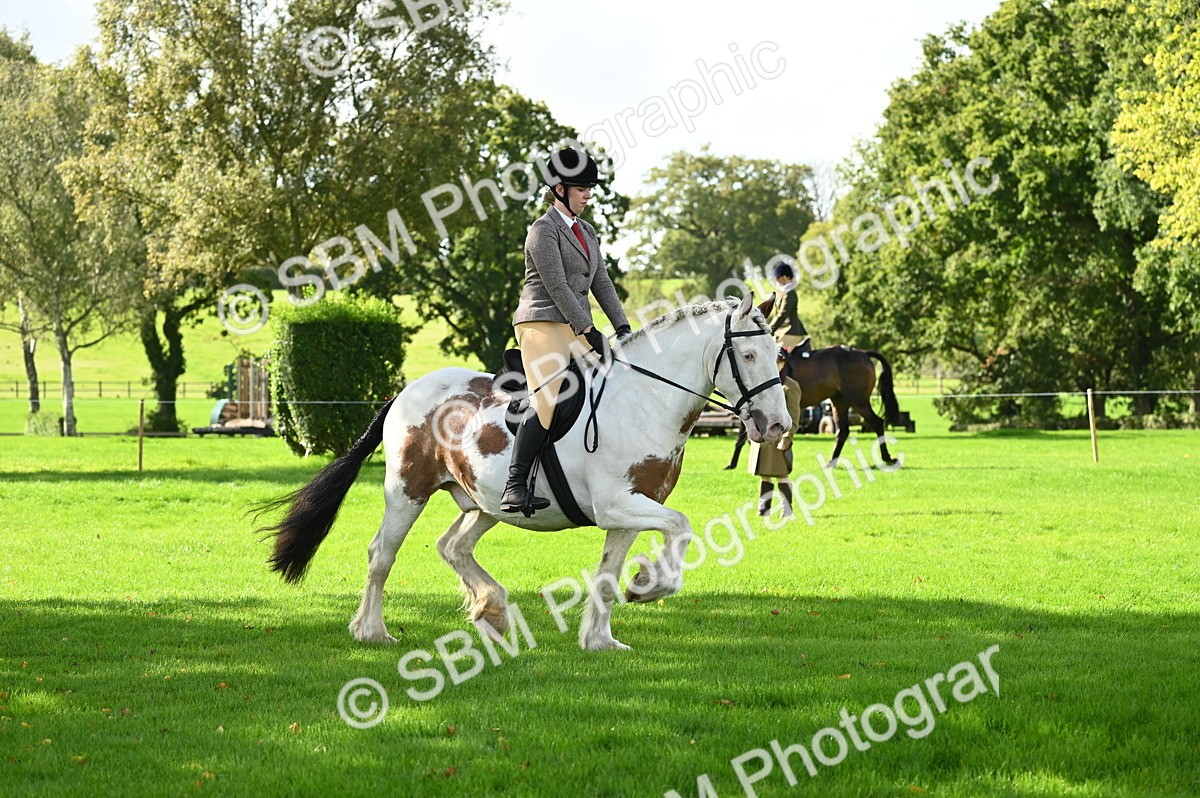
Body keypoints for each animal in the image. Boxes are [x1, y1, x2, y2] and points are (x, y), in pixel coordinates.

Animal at [256, 294, 792, 652]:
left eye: (779, 355)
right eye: (748, 356)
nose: (777, 426)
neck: (645, 399)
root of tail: (406, 390)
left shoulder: (629, 511)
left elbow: (608, 574)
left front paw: (601, 639)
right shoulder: (617, 505)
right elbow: (681, 525)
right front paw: (648, 586)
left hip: (484, 502)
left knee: (452, 546)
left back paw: (491, 609)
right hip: (407, 492)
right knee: (381, 554)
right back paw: (372, 631)